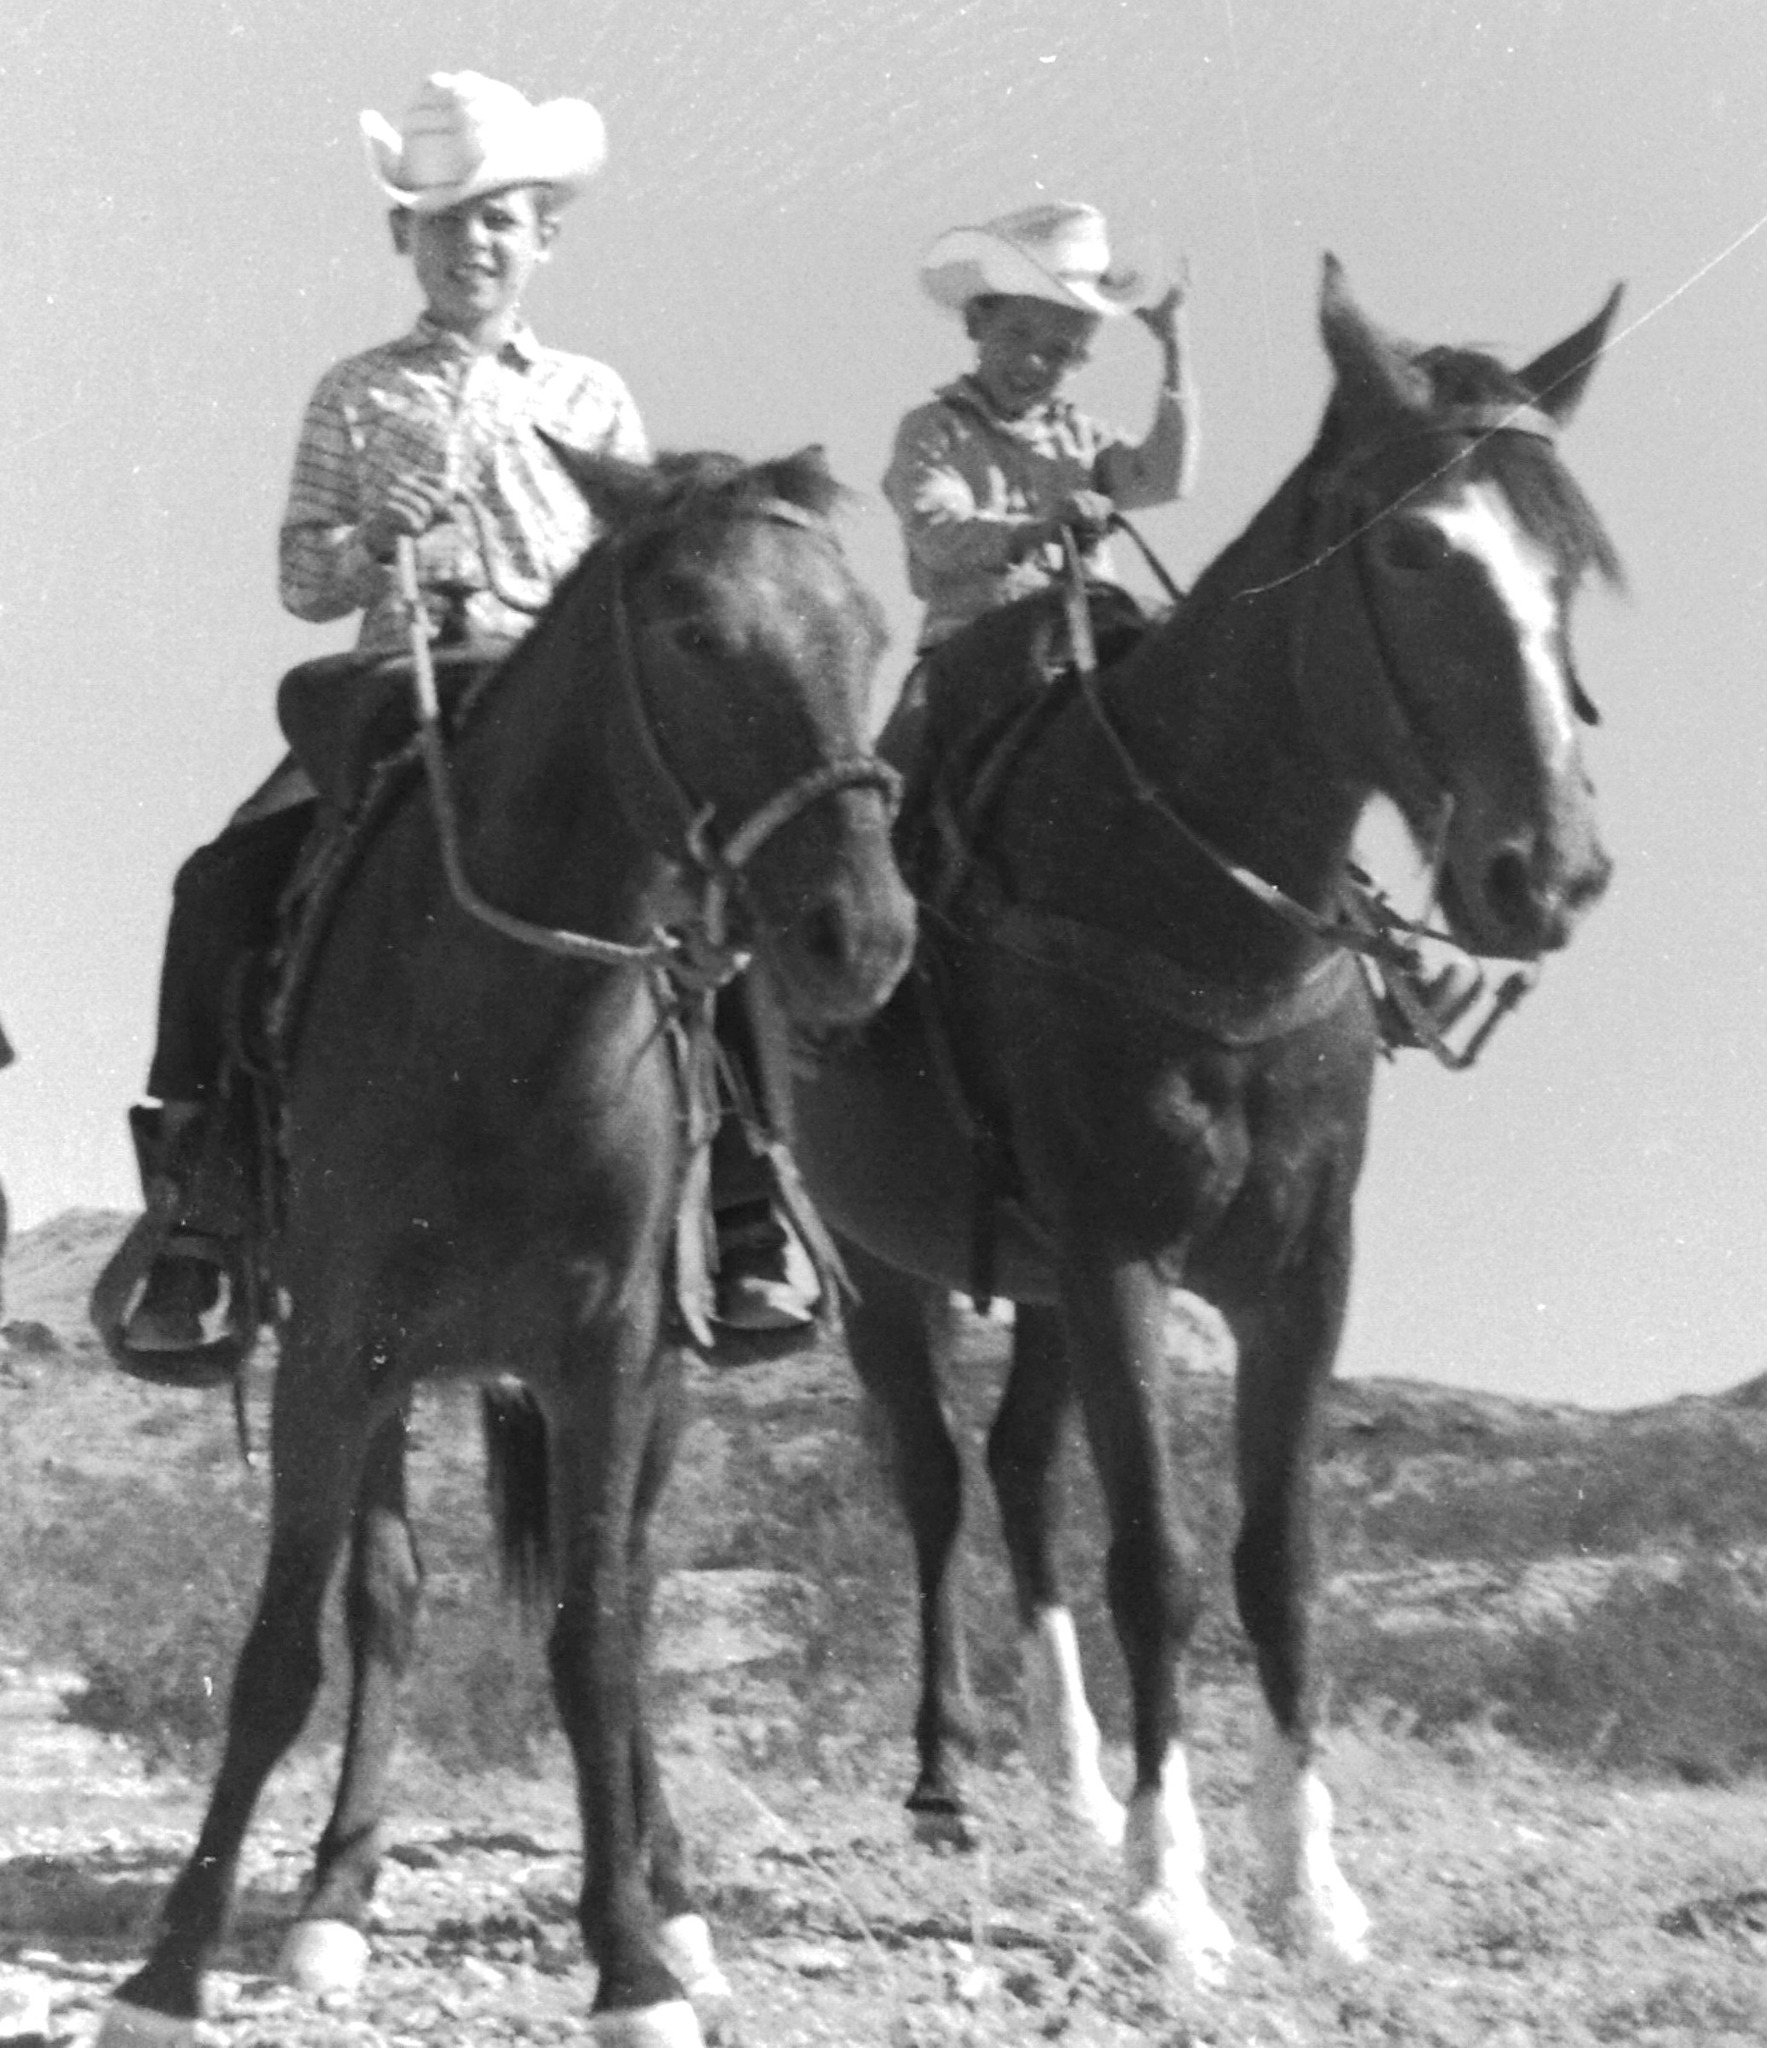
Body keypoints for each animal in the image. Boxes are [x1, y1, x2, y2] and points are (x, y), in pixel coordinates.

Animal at [97, 448, 917, 2048]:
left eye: (870, 631)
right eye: (694, 633)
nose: (864, 935)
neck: (506, 1028)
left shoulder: (609, 1357)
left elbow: (595, 1646)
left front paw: (634, 1961)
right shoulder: (338, 1344)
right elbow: (287, 1650)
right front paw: (169, 1969)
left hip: (652, 1385)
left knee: (633, 1600)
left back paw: (672, 1893)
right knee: (389, 1600)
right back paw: (336, 1900)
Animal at [785, 256, 1622, 1982]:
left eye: (1565, 555)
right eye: (1412, 547)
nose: (1546, 877)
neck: (1192, 887)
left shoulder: (1296, 1276)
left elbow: (1278, 1563)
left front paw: (1308, 1886)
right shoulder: (1119, 1261)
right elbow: (1158, 1560)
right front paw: (1173, 1897)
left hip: (1033, 1285)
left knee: (1021, 1474)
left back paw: (1072, 1777)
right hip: (880, 1268)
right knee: (935, 1481)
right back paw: (946, 1777)